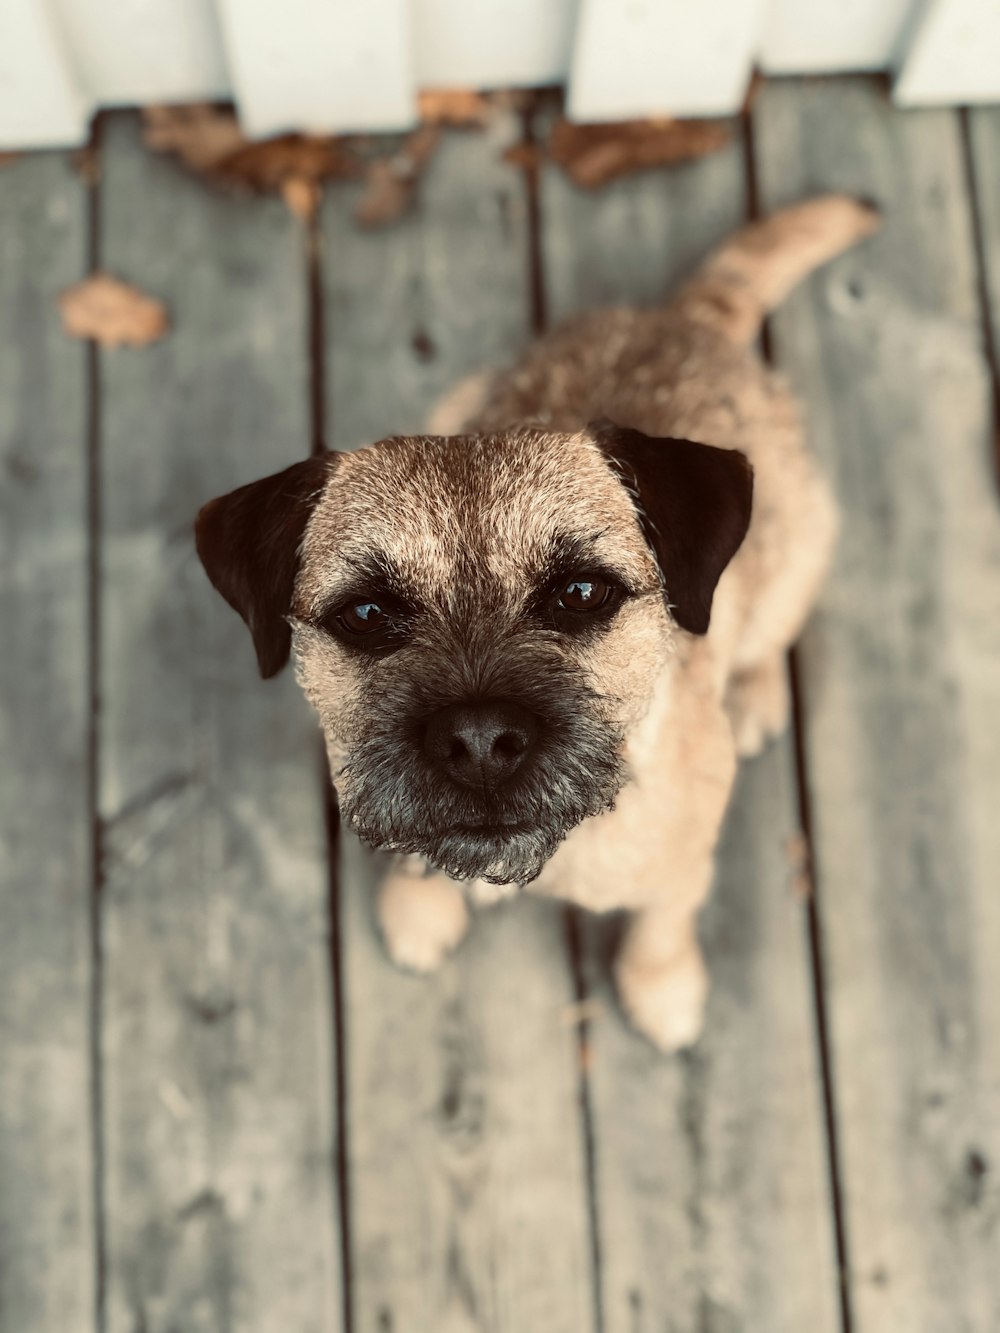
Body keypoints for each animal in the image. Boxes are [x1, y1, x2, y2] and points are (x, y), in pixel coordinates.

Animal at [193, 197, 874, 1050]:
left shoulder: (684, 854)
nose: (481, 740)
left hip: (798, 547)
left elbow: (667, 913)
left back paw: (753, 693)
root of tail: (689, 319)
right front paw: (418, 908)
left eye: (582, 593)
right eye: (367, 612)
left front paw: (662, 986)